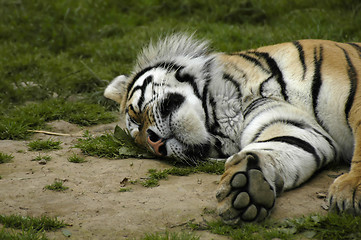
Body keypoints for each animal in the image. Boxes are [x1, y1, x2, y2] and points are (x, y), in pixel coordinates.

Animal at [103, 34, 360, 225]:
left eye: (136, 116)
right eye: (143, 145)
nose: (155, 144)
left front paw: (351, 190)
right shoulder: (294, 124)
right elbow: (285, 145)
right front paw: (248, 186)